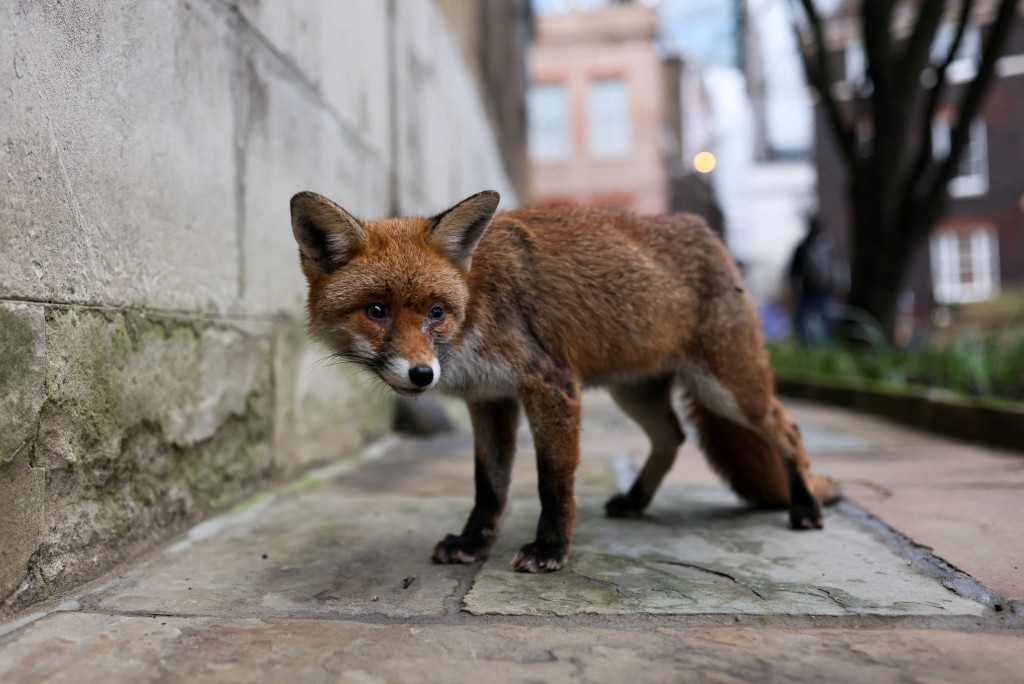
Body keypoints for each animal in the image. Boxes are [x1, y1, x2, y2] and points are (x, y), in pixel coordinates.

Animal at [290, 189, 837, 573]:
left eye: (436, 312)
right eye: (376, 311)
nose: (422, 374)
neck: (476, 303)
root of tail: (704, 230)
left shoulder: (549, 385)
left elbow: (552, 480)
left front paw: (550, 549)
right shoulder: (489, 399)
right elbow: (489, 485)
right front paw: (472, 543)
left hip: (728, 392)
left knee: (788, 430)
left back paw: (807, 506)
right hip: (634, 393)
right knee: (673, 436)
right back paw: (635, 501)